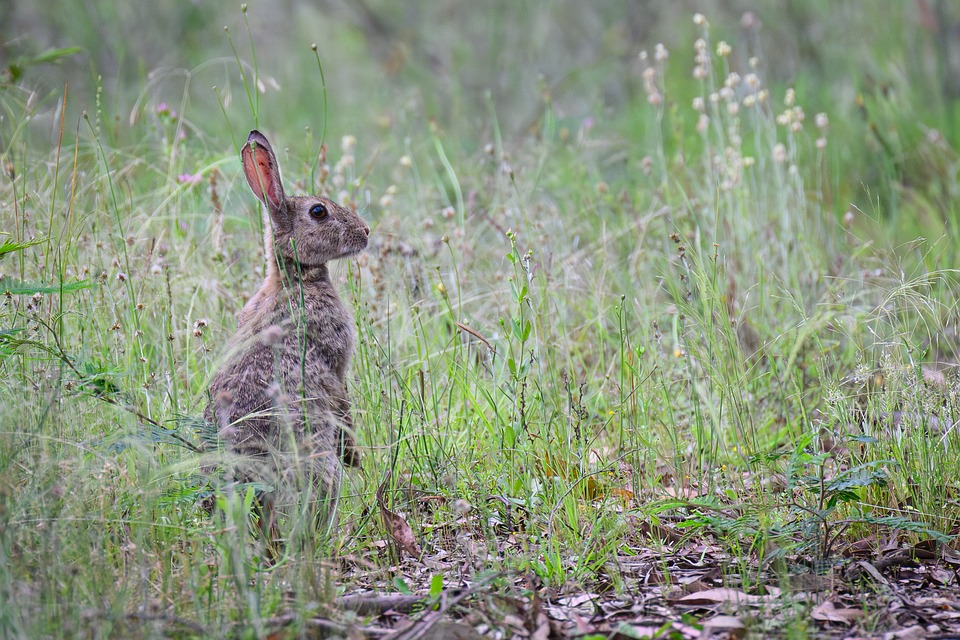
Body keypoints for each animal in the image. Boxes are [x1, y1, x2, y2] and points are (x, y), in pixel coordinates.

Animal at [204, 129, 369, 547]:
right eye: (318, 211)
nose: (366, 232)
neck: (295, 277)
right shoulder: (334, 364)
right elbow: (341, 402)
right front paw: (355, 456)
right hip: (316, 461)